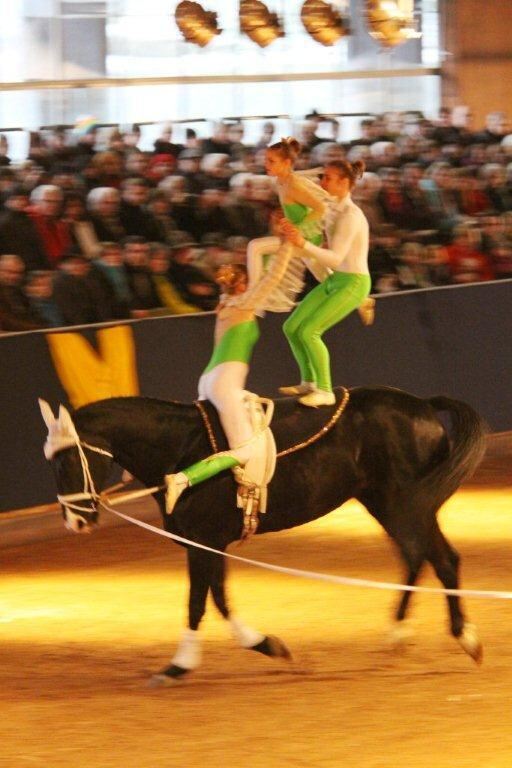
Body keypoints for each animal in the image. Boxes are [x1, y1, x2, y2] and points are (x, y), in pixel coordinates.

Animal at [39, 388, 484, 680]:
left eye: (65, 462)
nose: (74, 522)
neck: (183, 450)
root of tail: (423, 407)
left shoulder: (204, 541)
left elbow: (199, 602)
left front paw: (179, 665)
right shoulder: (208, 543)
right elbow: (219, 599)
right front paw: (267, 644)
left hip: (403, 502)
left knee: (433, 557)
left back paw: (450, 637)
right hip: (386, 501)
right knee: (426, 557)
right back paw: (418, 634)